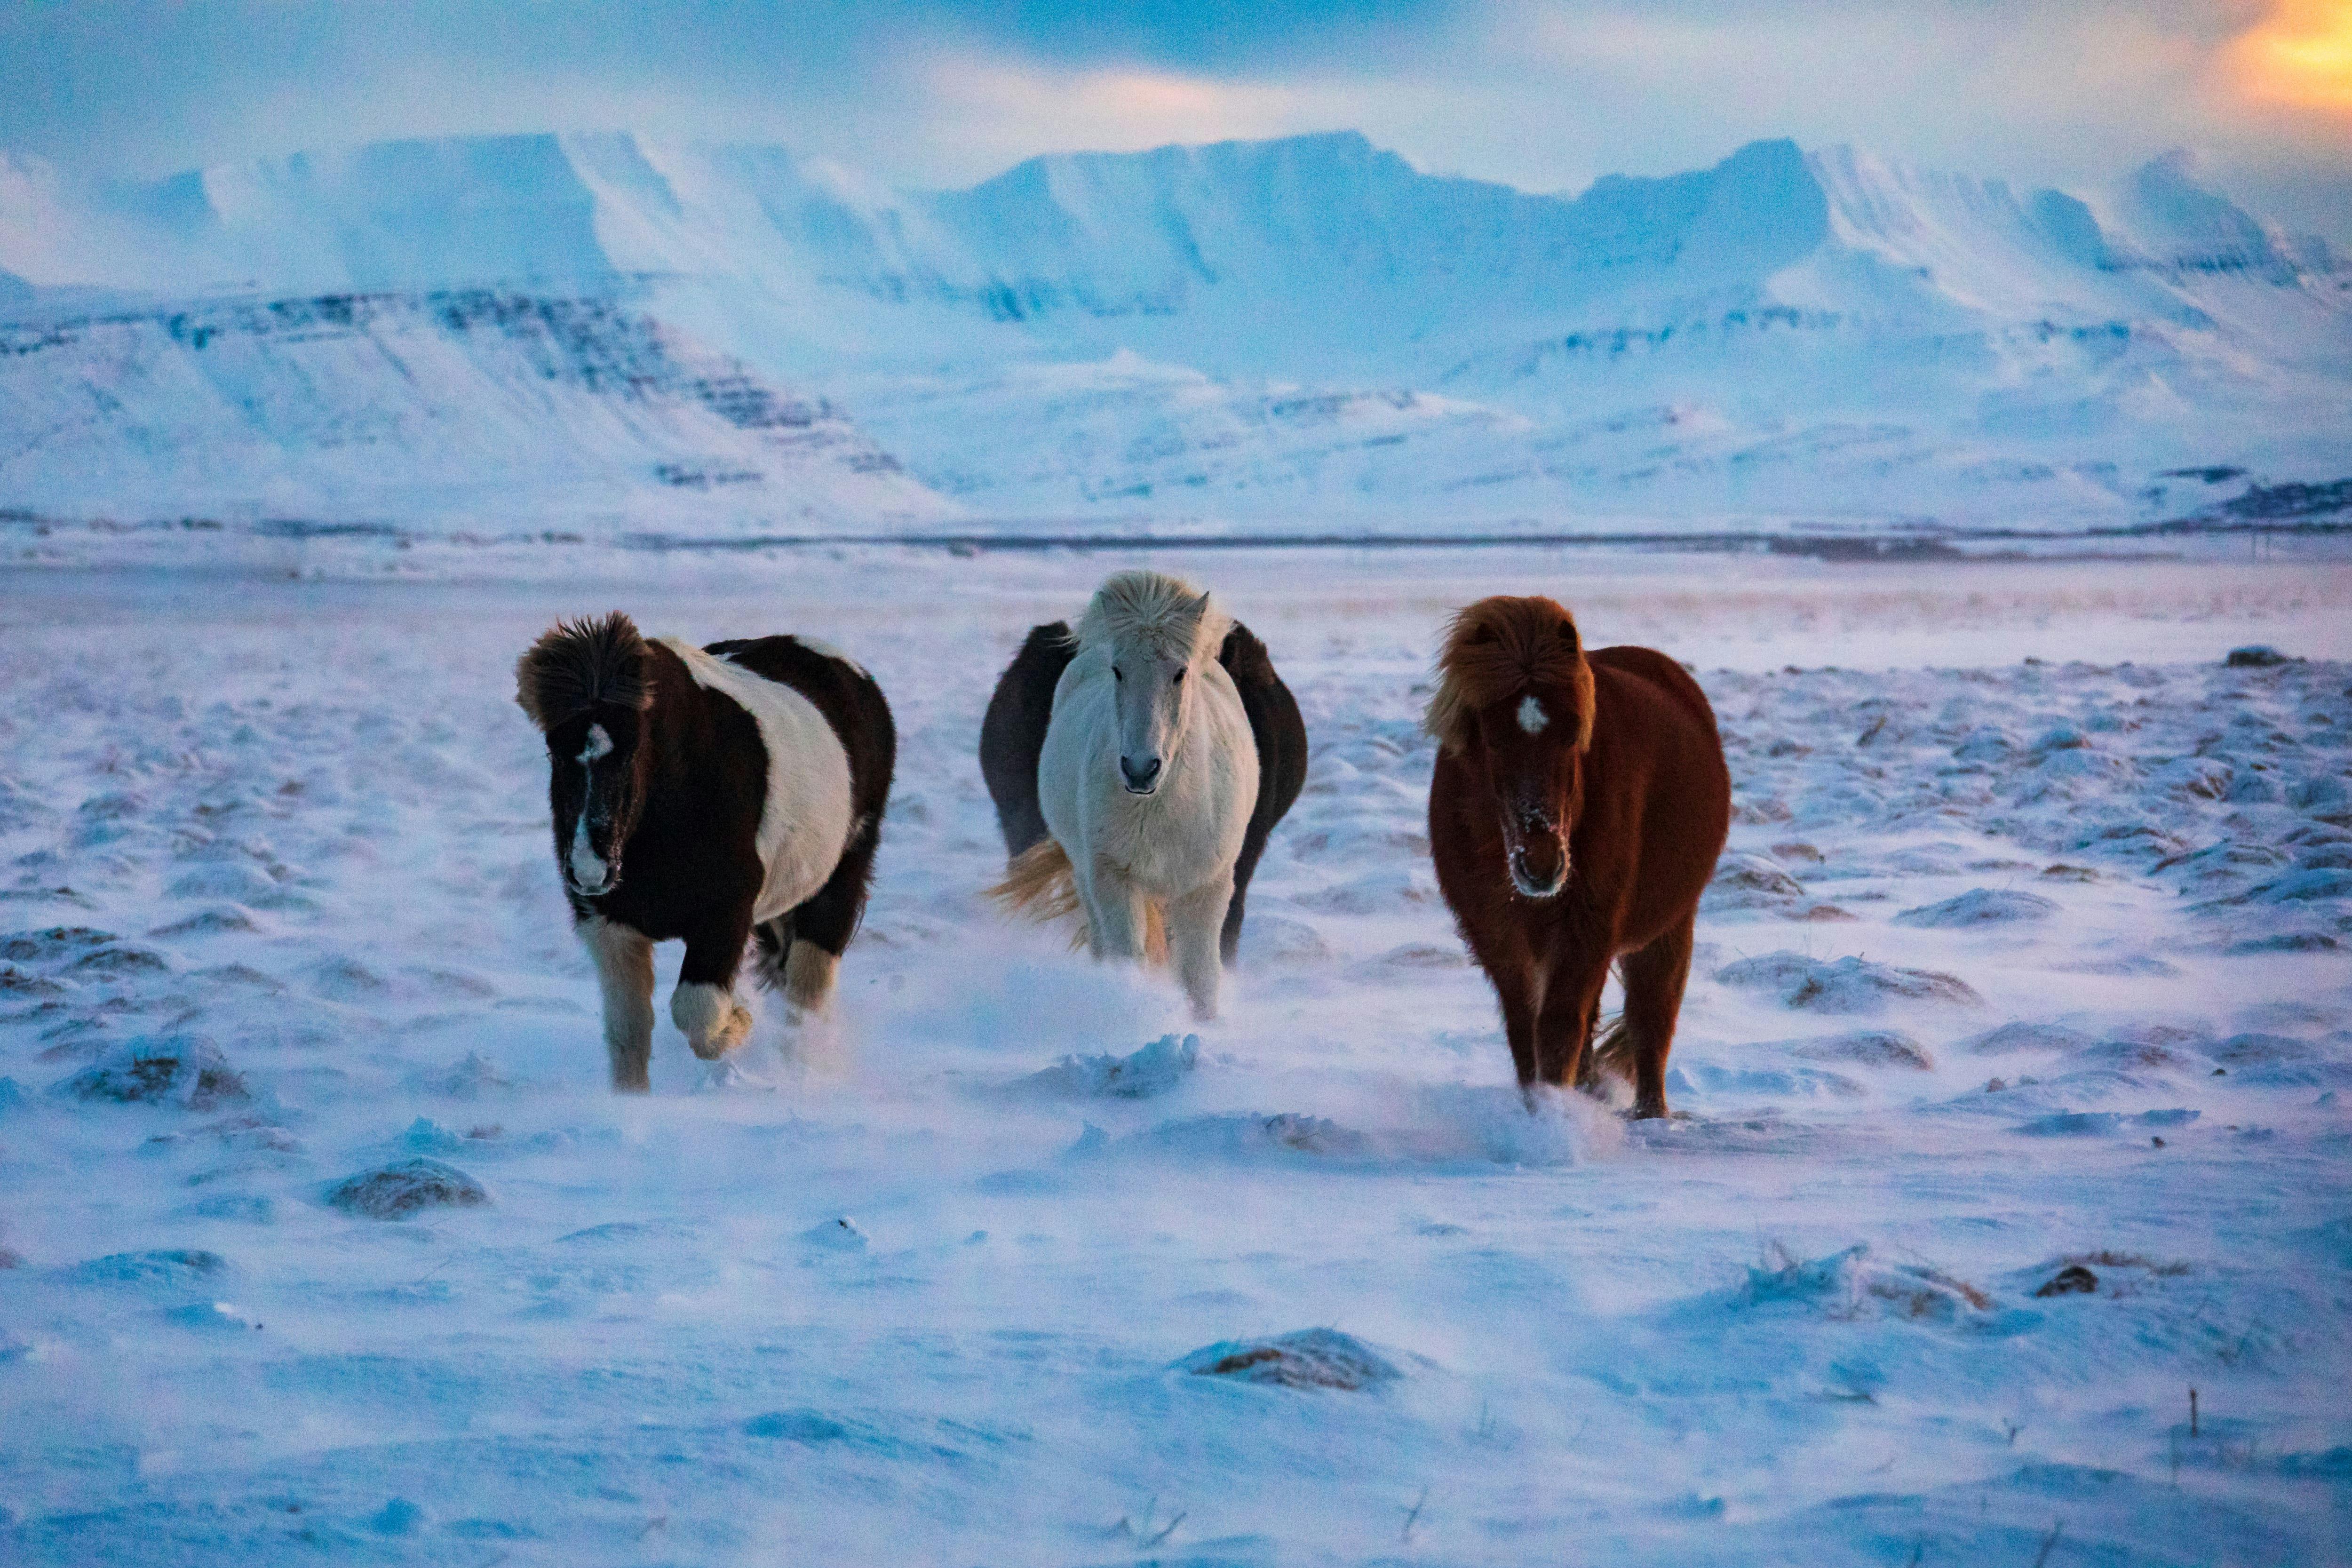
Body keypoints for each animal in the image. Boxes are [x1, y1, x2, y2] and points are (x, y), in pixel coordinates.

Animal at [515, 612, 895, 1091]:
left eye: (634, 748)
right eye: (554, 750)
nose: (589, 871)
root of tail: (857, 676)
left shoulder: (725, 915)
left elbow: (696, 1010)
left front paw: (741, 1021)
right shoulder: (610, 927)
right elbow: (627, 1033)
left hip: (839, 879)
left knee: (806, 995)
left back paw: (800, 1070)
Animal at [984, 570, 1294, 1019]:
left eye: (1180, 672)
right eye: (1118, 670)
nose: (1140, 768)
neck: (1163, 808)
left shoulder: (1209, 886)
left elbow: (1202, 976)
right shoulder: (1113, 879)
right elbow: (1129, 961)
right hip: (1086, 874)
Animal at [1425, 595, 1729, 1118]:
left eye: (1571, 735)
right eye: (1491, 738)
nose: (1541, 865)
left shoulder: (1588, 927)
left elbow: (1560, 1028)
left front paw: (1553, 1116)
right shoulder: (1495, 934)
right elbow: (1525, 1028)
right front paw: (1539, 1111)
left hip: (1666, 928)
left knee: (1652, 1020)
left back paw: (1649, 1115)